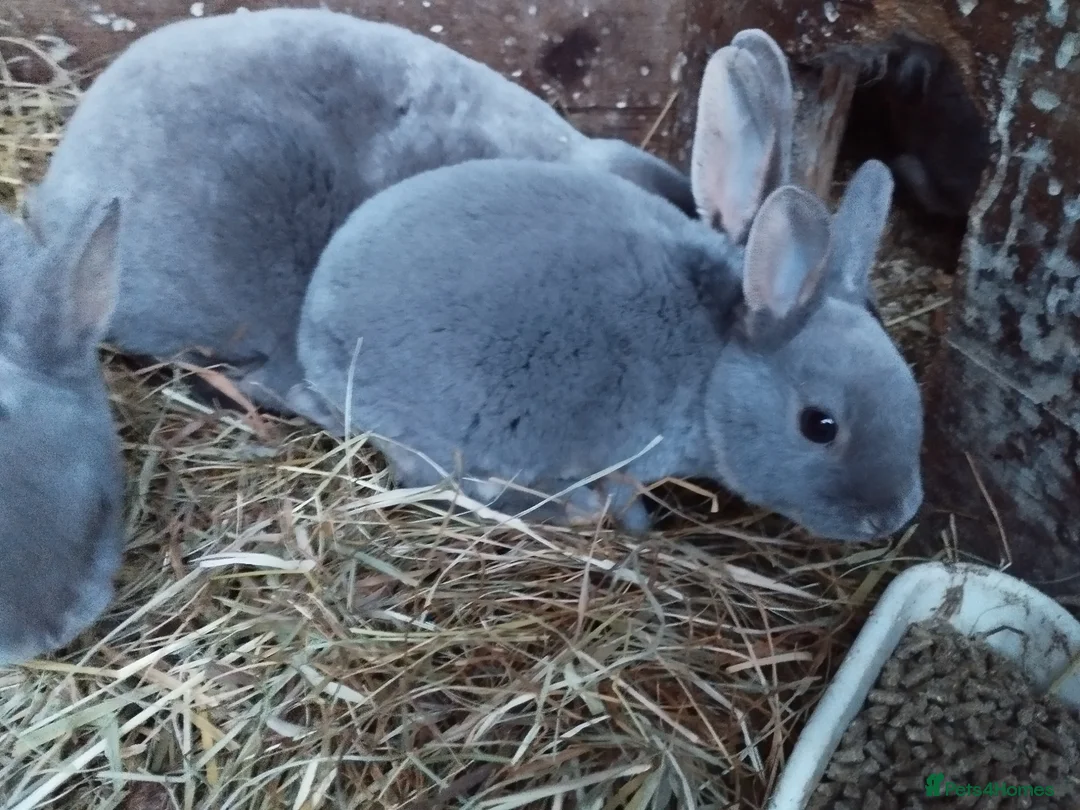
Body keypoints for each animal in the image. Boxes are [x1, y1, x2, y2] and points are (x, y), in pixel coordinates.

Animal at [289, 39, 925, 542]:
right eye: (820, 426)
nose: (893, 517)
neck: (714, 367)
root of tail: (315, 329)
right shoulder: (627, 457)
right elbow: (626, 498)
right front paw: (644, 533)